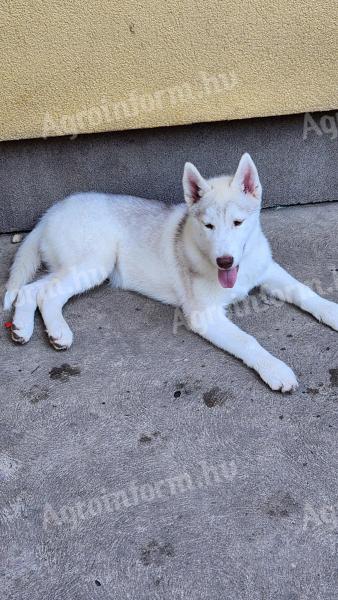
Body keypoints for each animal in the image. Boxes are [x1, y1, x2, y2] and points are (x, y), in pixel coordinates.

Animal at [3, 152, 338, 392]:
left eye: (238, 223)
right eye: (209, 226)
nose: (225, 262)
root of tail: (51, 211)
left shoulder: (266, 269)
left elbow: (304, 290)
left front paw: (332, 311)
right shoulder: (204, 314)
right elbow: (247, 340)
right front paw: (275, 368)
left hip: (76, 264)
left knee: (29, 290)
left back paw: (22, 328)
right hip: (95, 261)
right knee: (47, 293)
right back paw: (58, 331)